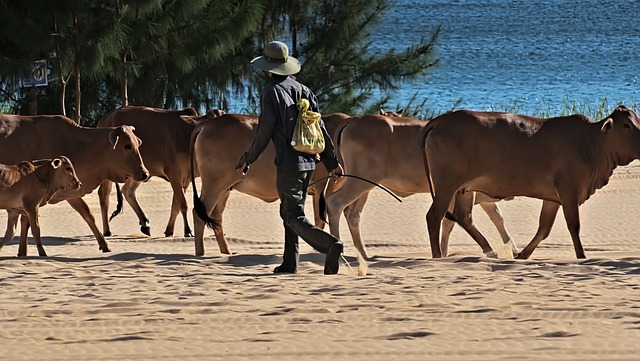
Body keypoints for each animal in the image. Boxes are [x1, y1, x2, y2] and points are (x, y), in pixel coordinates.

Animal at [0, 114, 149, 252]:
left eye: (138, 143)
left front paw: (104, 245)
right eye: (127, 145)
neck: (78, 146)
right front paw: (23, 252)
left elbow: (88, 215)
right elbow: (26, 223)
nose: (145, 173)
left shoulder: (71, 192)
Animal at [96, 105, 205, 238]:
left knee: (127, 191)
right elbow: (183, 204)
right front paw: (188, 230)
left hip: (138, 173)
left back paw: (145, 224)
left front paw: (169, 231)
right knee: (104, 195)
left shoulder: (184, 179)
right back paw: (107, 230)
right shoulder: (174, 173)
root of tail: (104, 120)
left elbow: (176, 206)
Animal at [322, 114, 516, 258]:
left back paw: (363, 253)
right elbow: (449, 222)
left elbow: (497, 218)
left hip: (365, 184)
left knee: (353, 214)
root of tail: (354, 120)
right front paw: (443, 253)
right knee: (335, 203)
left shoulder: (481, 196)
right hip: (360, 180)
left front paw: (512, 248)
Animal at [420, 105, 640, 258]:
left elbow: (544, 228)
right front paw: (582, 256)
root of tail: (439, 120)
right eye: (626, 125)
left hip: (464, 189)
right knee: (434, 217)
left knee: (463, 216)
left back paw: (491, 251)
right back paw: (437, 256)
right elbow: (573, 225)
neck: (590, 142)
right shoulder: (569, 190)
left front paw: (523, 255)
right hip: (446, 186)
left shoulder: (553, 198)